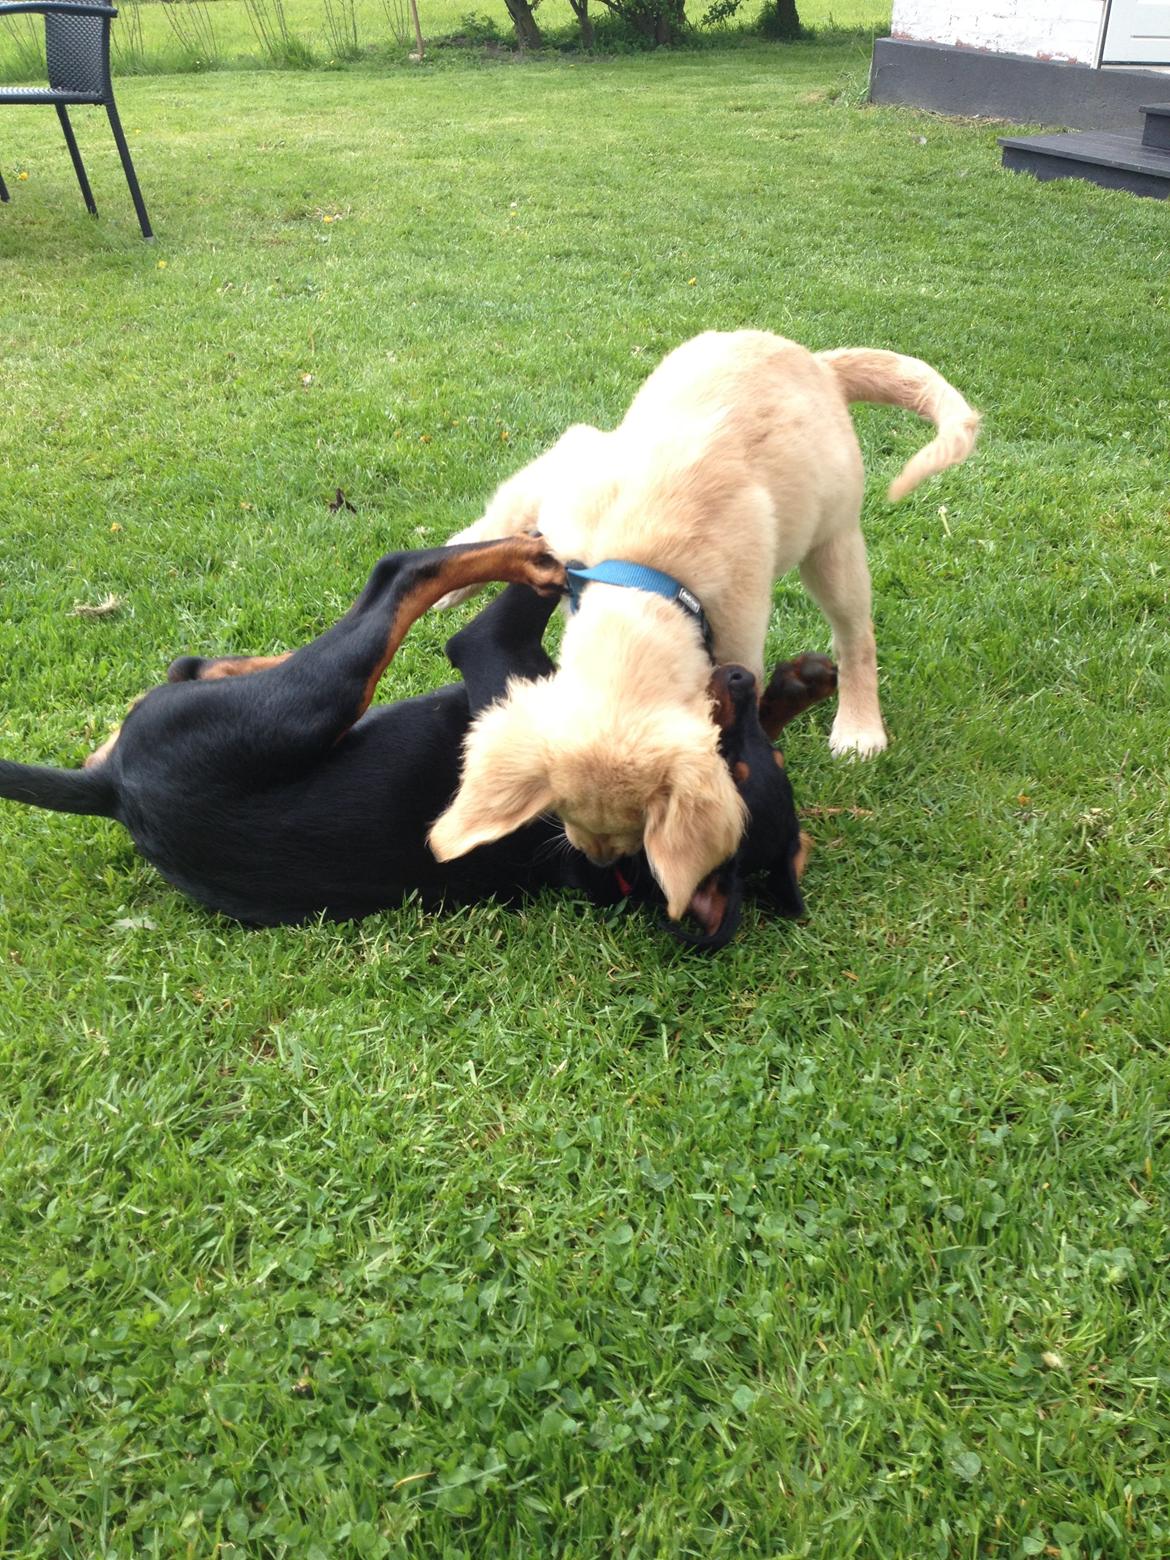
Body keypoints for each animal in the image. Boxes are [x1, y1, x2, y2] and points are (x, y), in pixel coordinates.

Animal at [0, 536, 842, 948]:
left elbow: (470, 622)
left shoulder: (486, 652)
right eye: (738, 757)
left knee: (394, 578)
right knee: (190, 665)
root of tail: (113, 794)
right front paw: (800, 684)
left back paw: (530, 554)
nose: (736, 674)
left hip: (299, 709)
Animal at [427, 329, 979, 911]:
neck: (645, 587)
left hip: (834, 544)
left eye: (638, 826)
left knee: (856, 639)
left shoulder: (737, 643)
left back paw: (858, 727)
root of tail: (816, 362)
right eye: (562, 809)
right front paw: (458, 570)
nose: (599, 863)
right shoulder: (573, 467)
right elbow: (507, 510)